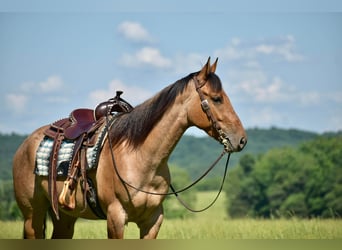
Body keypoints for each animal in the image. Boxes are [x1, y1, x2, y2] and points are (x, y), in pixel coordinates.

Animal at [12, 57, 246, 239]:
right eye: (216, 98)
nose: (241, 139)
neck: (140, 158)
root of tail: (25, 145)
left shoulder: (152, 221)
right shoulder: (116, 218)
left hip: (65, 218)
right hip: (32, 216)